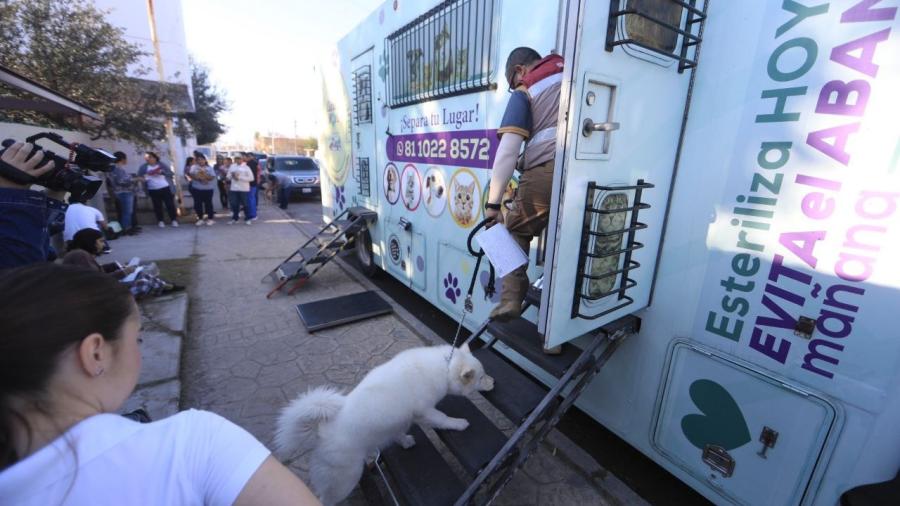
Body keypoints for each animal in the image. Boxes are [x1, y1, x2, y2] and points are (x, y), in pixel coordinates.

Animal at [278, 344, 496, 506]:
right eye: (481, 377)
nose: (494, 382)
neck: (445, 367)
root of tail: (322, 432)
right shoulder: (426, 410)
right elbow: (442, 418)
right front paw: (458, 424)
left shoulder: (404, 417)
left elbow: (399, 432)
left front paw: (405, 441)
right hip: (346, 480)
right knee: (325, 499)